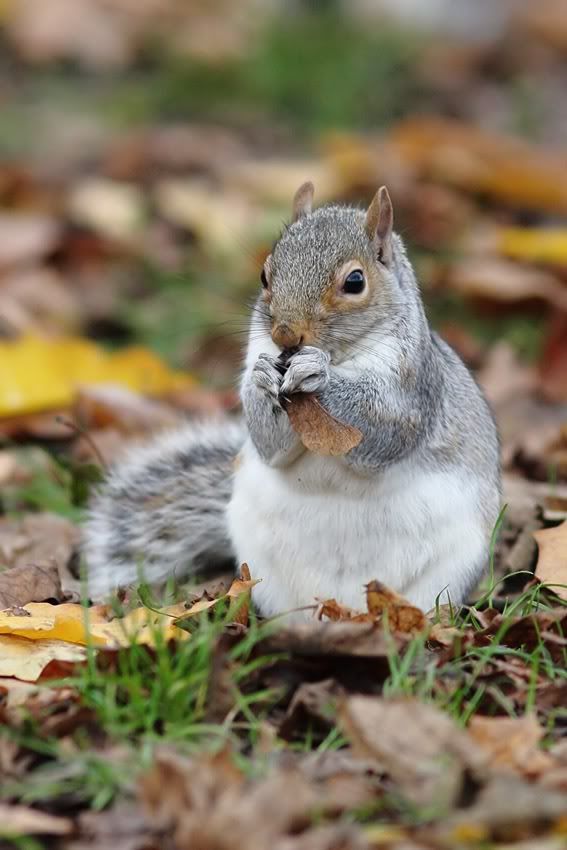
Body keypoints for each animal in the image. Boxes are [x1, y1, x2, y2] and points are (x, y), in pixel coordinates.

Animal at [84, 183, 501, 618]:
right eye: (264, 274)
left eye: (355, 281)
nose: (285, 334)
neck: (342, 355)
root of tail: (343, 606)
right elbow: (270, 444)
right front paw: (262, 380)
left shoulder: (414, 389)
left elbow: (384, 428)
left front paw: (318, 374)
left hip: (448, 573)